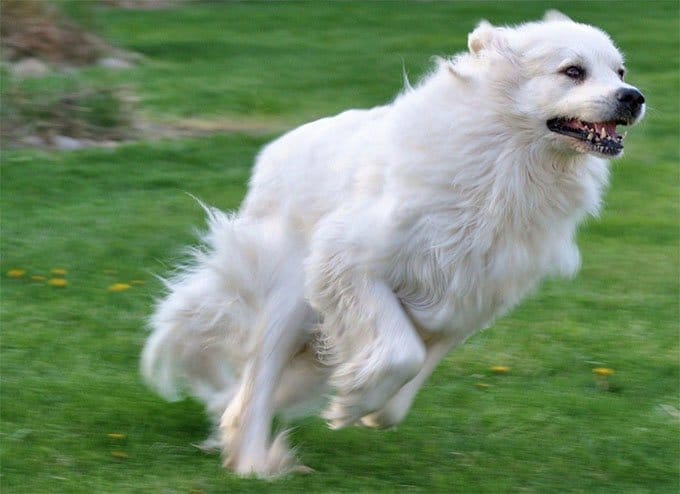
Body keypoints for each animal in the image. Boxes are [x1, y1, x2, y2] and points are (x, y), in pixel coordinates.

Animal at [142, 10, 644, 478]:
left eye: (619, 71)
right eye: (573, 71)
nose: (633, 97)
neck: (505, 161)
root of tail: (270, 158)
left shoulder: (467, 301)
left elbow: (411, 379)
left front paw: (369, 405)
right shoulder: (350, 263)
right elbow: (402, 354)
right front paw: (352, 402)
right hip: (289, 298)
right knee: (257, 385)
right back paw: (253, 463)